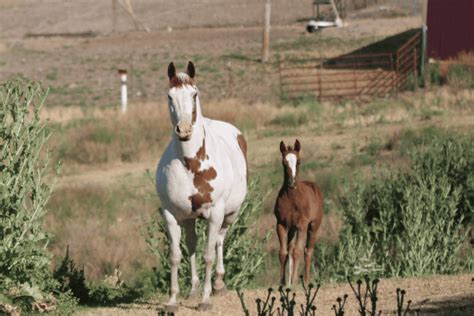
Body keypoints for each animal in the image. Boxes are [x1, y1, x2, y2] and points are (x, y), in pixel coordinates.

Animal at [156, 61, 248, 312]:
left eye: (194, 94)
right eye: (169, 96)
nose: (184, 130)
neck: (191, 165)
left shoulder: (215, 214)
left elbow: (208, 254)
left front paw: (206, 300)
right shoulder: (171, 214)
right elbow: (176, 256)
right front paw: (172, 301)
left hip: (229, 215)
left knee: (219, 241)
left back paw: (218, 284)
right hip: (189, 218)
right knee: (192, 245)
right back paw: (194, 290)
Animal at [272, 139, 324, 288]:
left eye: (299, 161)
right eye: (284, 162)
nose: (292, 183)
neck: (292, 198)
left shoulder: (302, 225)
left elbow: (297, 252)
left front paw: (294, 281)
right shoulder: (281, 224)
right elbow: (283, 253)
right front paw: (283, 282)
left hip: (313, 226)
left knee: (308, 251)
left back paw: (306, 281)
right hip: (292, 229)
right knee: (290, 248)